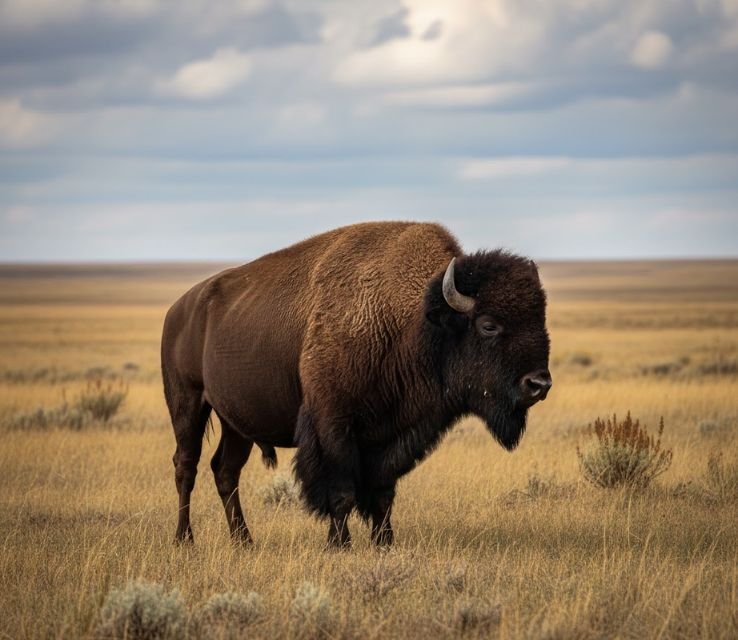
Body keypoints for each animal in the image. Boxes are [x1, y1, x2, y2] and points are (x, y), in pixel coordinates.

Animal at [161, 221, 551, 547]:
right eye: (488, 325)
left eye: (540, 320)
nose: (539, 383)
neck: (414, 323)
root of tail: (179, 309)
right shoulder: (334, 426)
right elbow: (342, 490)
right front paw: (339, 545)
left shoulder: (393, 434)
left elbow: (382, 493)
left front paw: (384, 543)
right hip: (188, 403)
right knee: (186, 466)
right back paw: (185, 539)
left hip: (236, 423)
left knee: (225, 471)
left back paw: (244, 541)